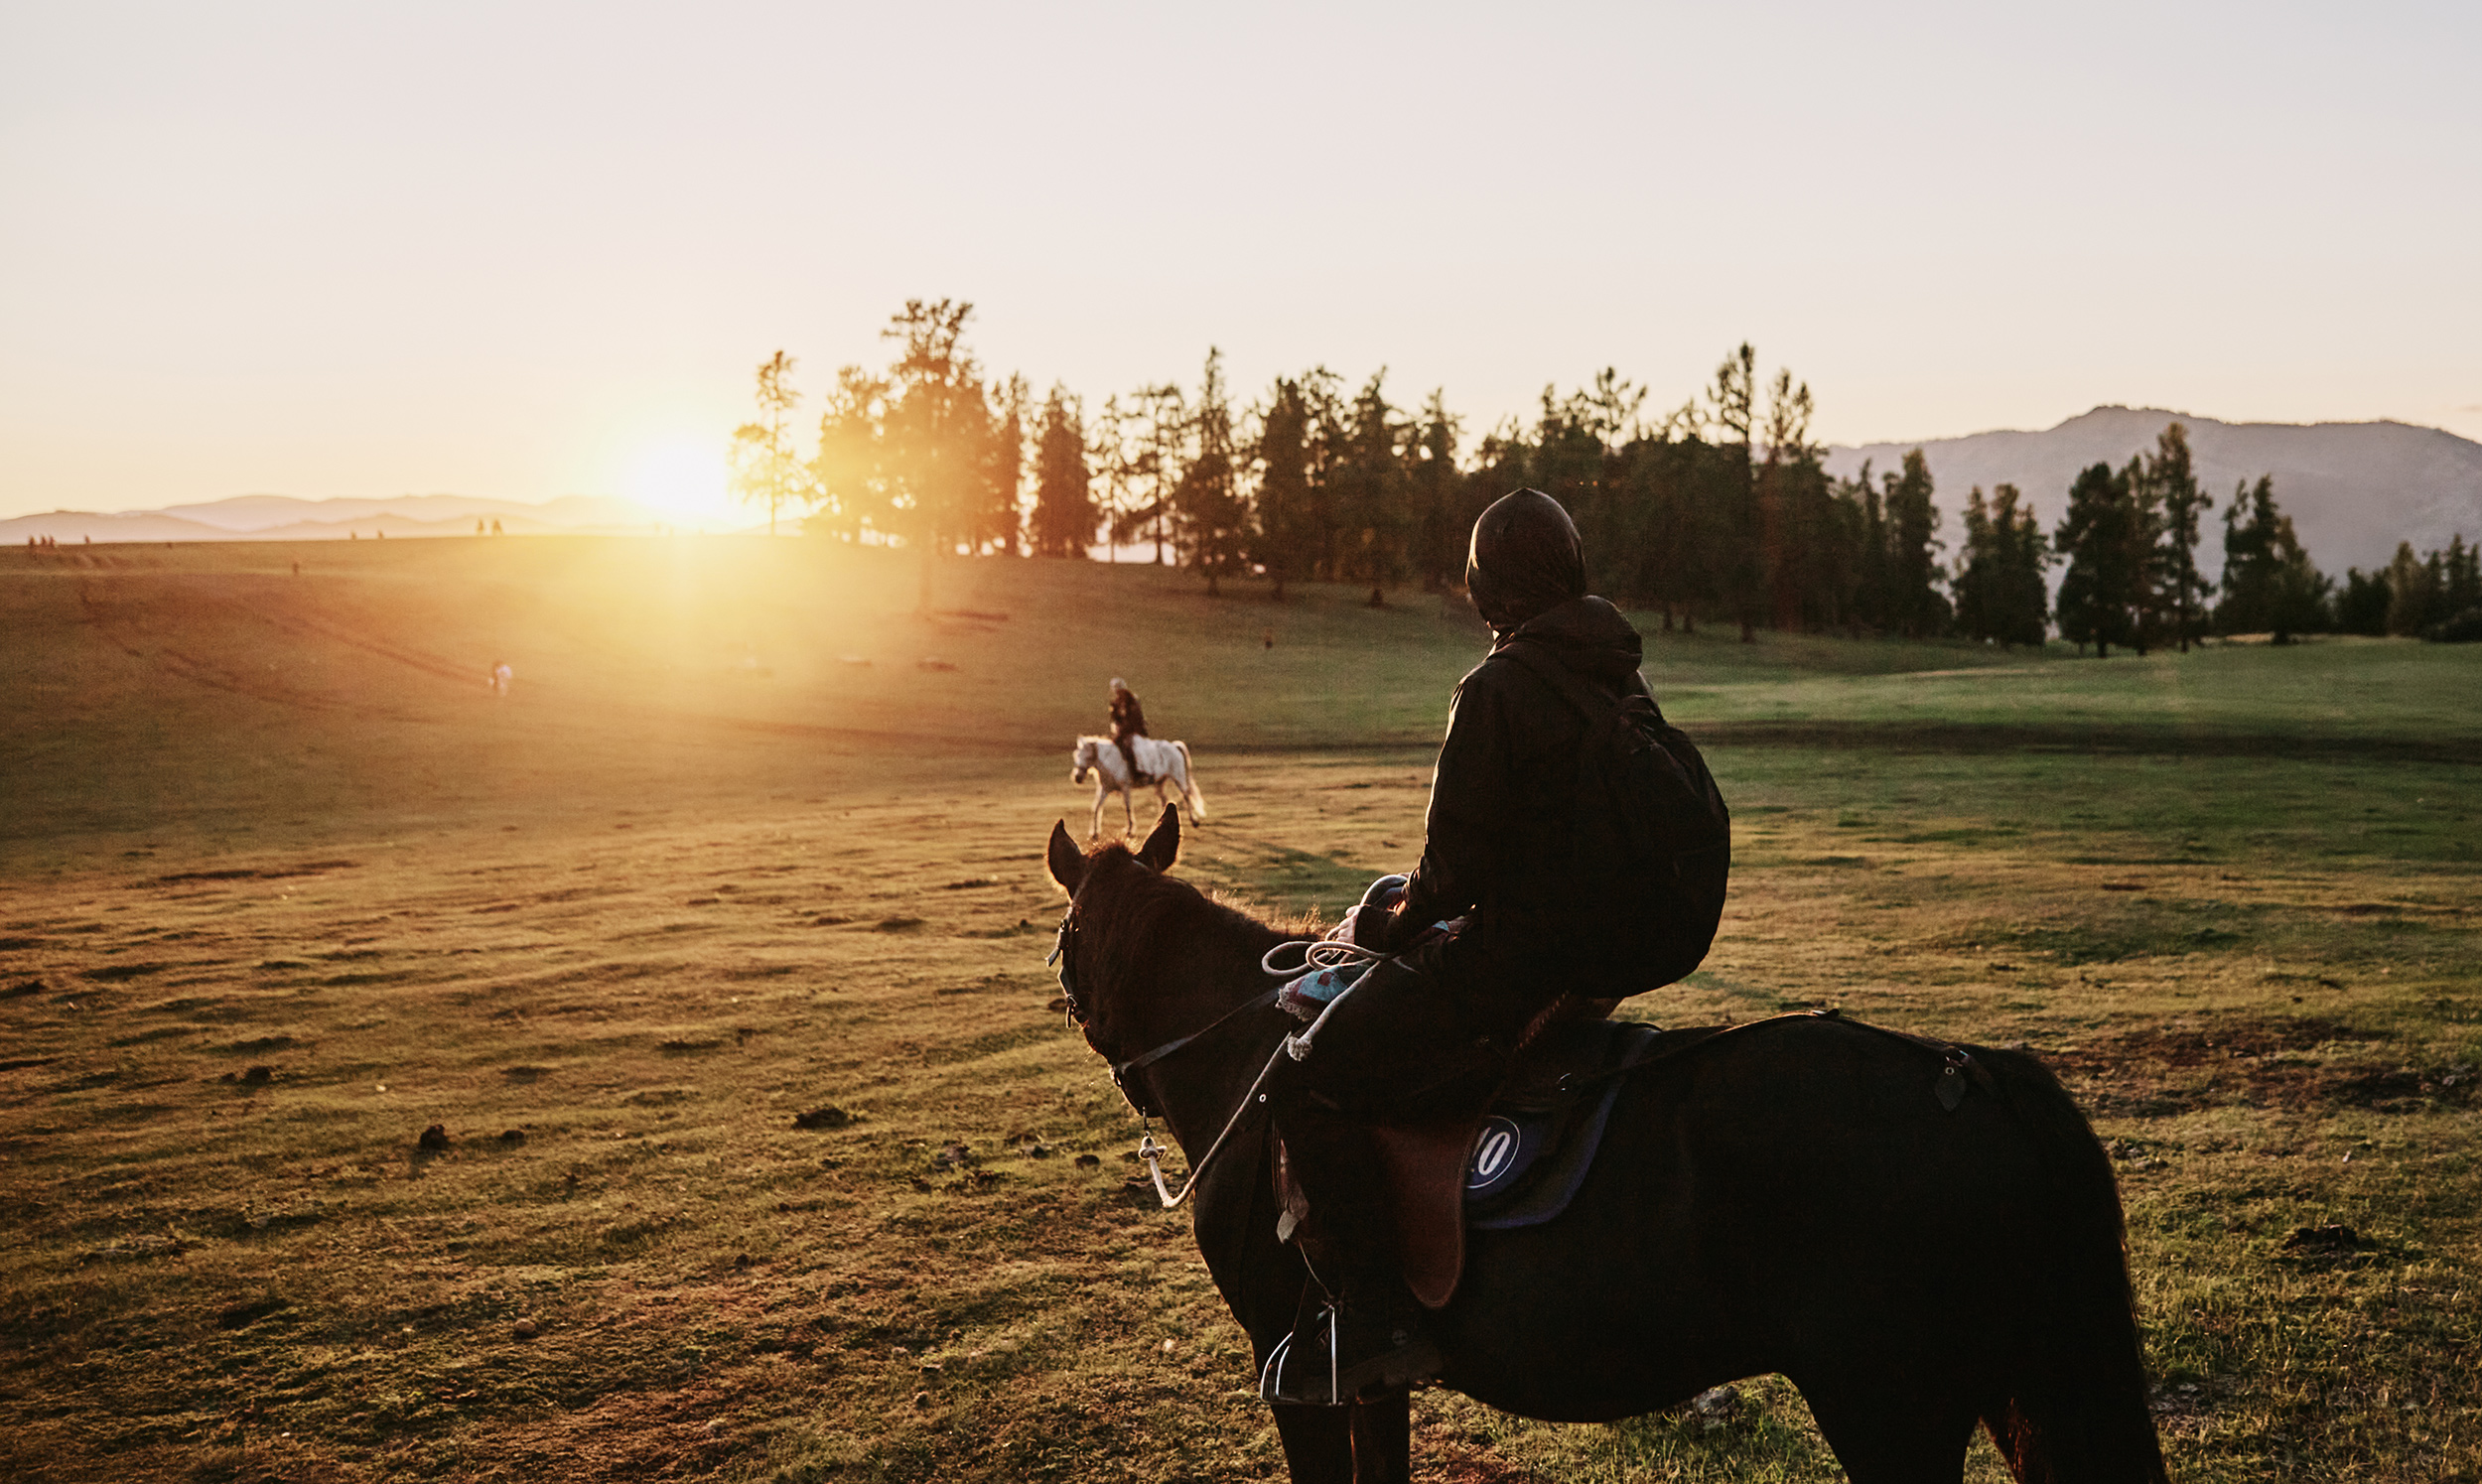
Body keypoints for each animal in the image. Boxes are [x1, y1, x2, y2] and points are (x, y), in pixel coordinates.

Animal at [1044, 804, 2170, 1484]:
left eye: (1062, 942)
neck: (1245, 1053)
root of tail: (1969, 1071)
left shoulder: (1293, 1357)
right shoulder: (1374, 1379)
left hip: (1891, 1406)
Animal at [1070, 734, 1207, 841]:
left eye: (1087, 757)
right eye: (1077, 755)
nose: (1077, 778)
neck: (1110, 761)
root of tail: (1174, 746)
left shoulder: (1125, 787)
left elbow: (1128, 808)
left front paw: (1130, 831)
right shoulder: (1105, 789)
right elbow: (1096, 807)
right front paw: (1094, 833)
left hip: (1178, 778)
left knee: (1186, 796)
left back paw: (1194, 821)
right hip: (1159, 783)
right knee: (1164, 800)